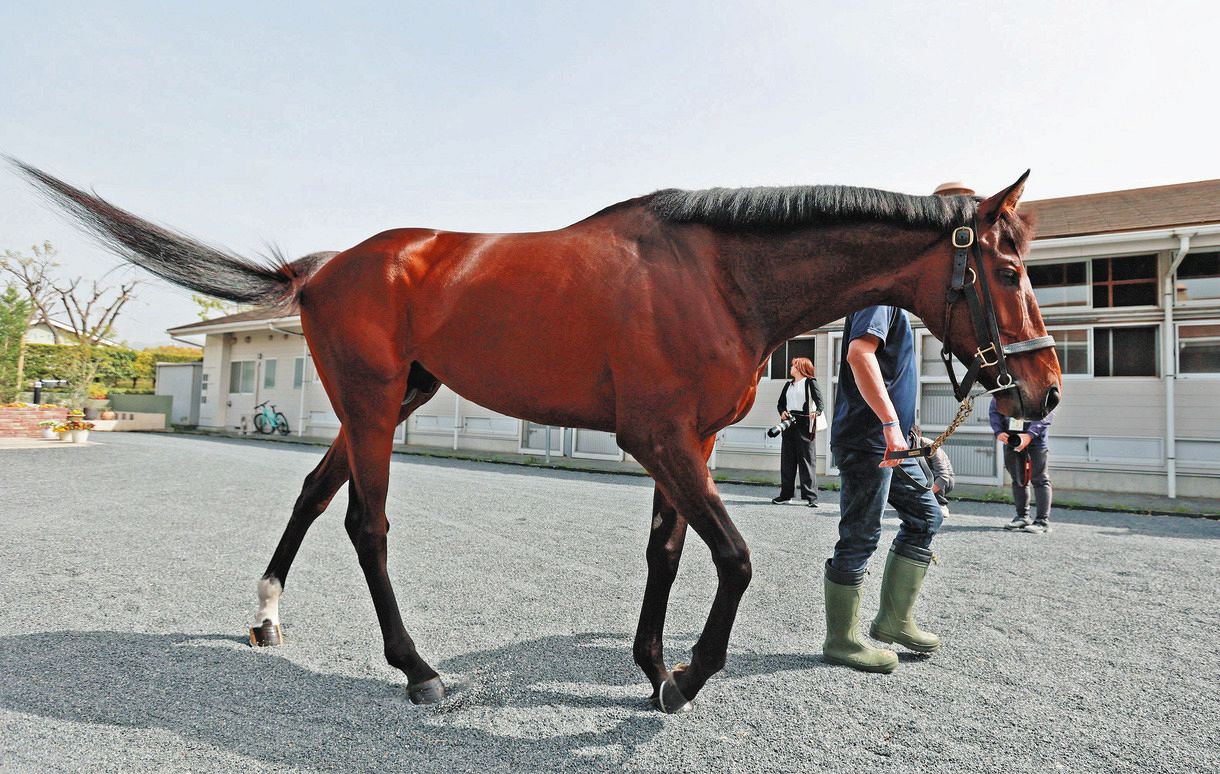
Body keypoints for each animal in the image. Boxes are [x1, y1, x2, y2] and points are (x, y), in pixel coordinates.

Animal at [9, 161, 1058, 712]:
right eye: (1008, 270)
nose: (1043, 388)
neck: (719, 276)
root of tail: (324, 267)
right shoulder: (659, 440)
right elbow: (735, 557)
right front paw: (688, 677)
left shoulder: (689, 448)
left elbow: (669, 553)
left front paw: (651, 667)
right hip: (373, 403)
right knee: (365, 527)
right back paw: (419, 671)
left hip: (390, 401)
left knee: (313, 495)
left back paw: (267, 615)